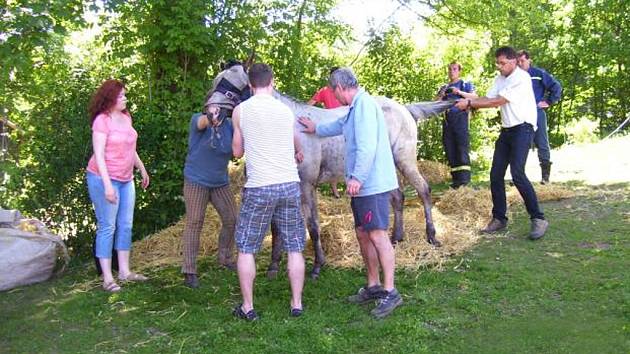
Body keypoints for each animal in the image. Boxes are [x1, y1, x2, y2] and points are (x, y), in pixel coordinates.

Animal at [266, 92, 454, 280]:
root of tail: (405, 109)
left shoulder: (306, 185)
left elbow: (312, 225)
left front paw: (318, 265)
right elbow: (276, 226)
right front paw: (273, 265)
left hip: (405, 161)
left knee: (423, 191)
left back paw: (431, 237)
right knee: (398, 197)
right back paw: (396, 238)